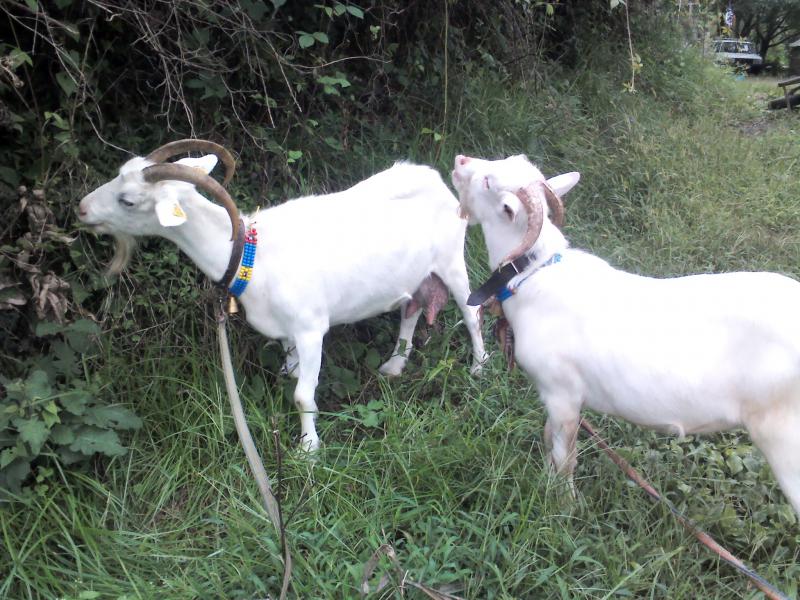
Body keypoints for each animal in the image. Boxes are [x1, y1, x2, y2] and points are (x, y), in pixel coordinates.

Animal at [78, 141, 488, 450]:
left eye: (128, 200)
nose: (81, 208)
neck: (251, 254)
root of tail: (433, 178)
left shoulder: (310, 329)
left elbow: (303, 395)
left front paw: (308, 450)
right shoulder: (287, 332)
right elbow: (289, 376)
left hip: (452, 260)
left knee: (471, 313)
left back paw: (479, 367)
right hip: (416, 272)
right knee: (411, 308)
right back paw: (395, 364)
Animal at [450, 152, 800, 516]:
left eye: (488, 181)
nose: (460, 160)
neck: (534, 277)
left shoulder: (562, 394)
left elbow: (564, 457)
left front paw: (562, 506)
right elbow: (549, 442)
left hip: (785, 437)